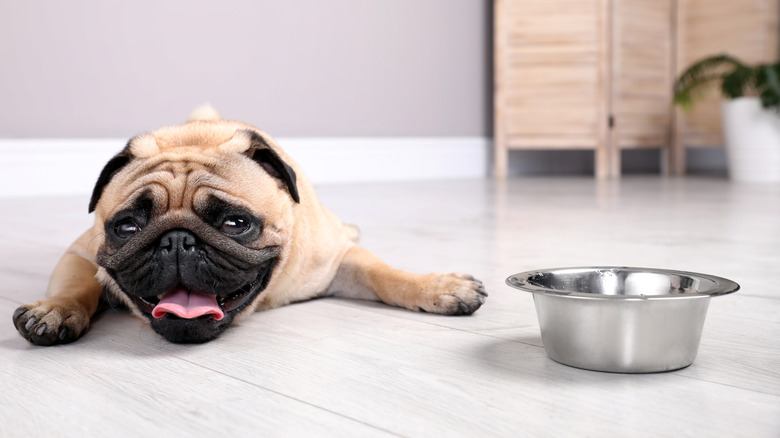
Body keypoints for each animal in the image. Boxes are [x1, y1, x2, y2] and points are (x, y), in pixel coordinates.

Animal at [12, 107, 484, 346]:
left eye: (236, 223)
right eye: (126, 228)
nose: (177, 241)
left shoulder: (335, 263)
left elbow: (385, 274)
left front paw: (439, 287)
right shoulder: (81, 252)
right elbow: (77, 285)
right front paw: (55, 310)